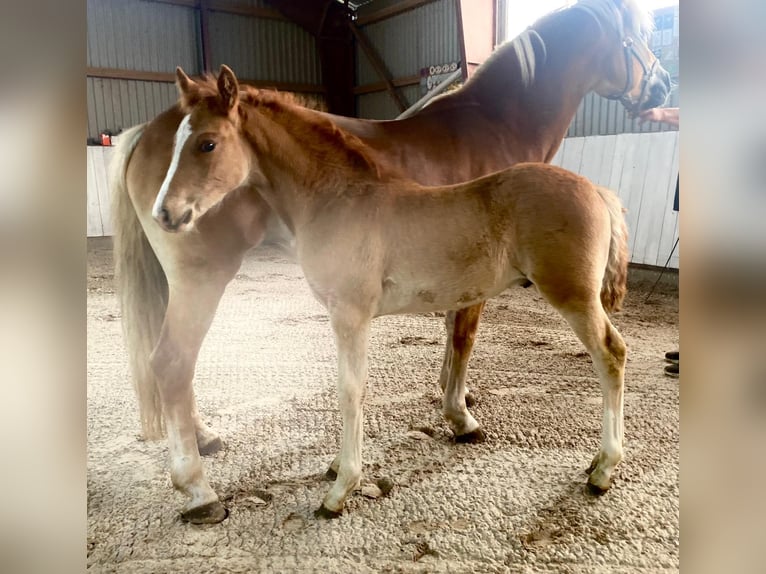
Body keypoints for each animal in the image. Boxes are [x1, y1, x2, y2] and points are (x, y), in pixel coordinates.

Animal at [111, 0, 668, 520]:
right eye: (179, 143)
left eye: (207, 143)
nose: (167, 212)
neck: (338, 195)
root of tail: (596, 190)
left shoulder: (352, 313)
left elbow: (352, 390)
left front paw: (341, 488)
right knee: (173, 362)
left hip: (573, 295)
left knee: (611, 354)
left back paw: (603, 468)